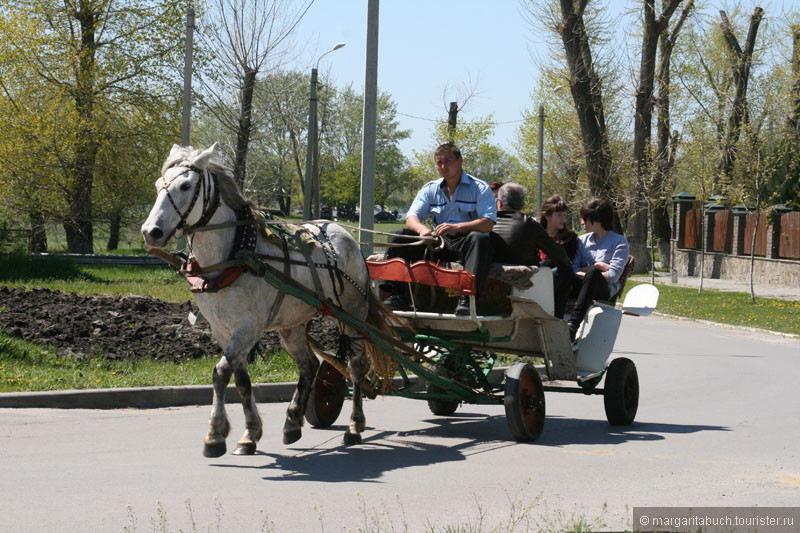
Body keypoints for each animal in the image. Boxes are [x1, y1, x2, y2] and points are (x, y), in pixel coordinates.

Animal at [141, 143, 390, 456]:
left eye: (186, 186)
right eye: (156, 185)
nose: (151, 232)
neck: (236, 253)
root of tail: (346, 235)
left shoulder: (249, 327)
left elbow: (220, 373)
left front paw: (215, 435)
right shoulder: (222, 329)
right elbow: (241, 380)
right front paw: (250, 434)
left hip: (353, 316)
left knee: (356, 366)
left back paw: (355, 427)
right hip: (292, 323)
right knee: (309, 365)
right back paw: (293, 422)